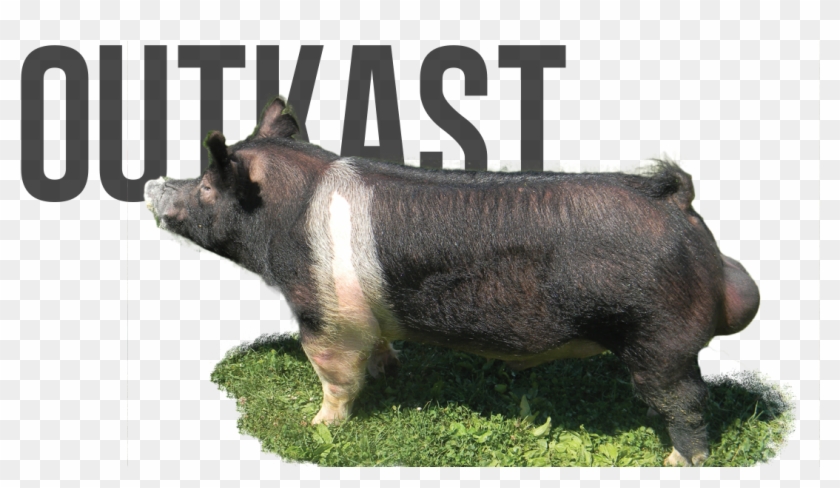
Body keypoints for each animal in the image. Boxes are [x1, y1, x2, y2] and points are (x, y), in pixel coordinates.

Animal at [144, 96, 760, 467]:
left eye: (206, 185)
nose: (152, 183)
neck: (283, 219)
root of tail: (677, 203)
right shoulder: (365, 318)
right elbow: (378, 351)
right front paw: (390, 371)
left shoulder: (325, 313)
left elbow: (333, 374)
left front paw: (316, 424)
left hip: (658, 339)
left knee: (688, 404)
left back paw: (675, 461)